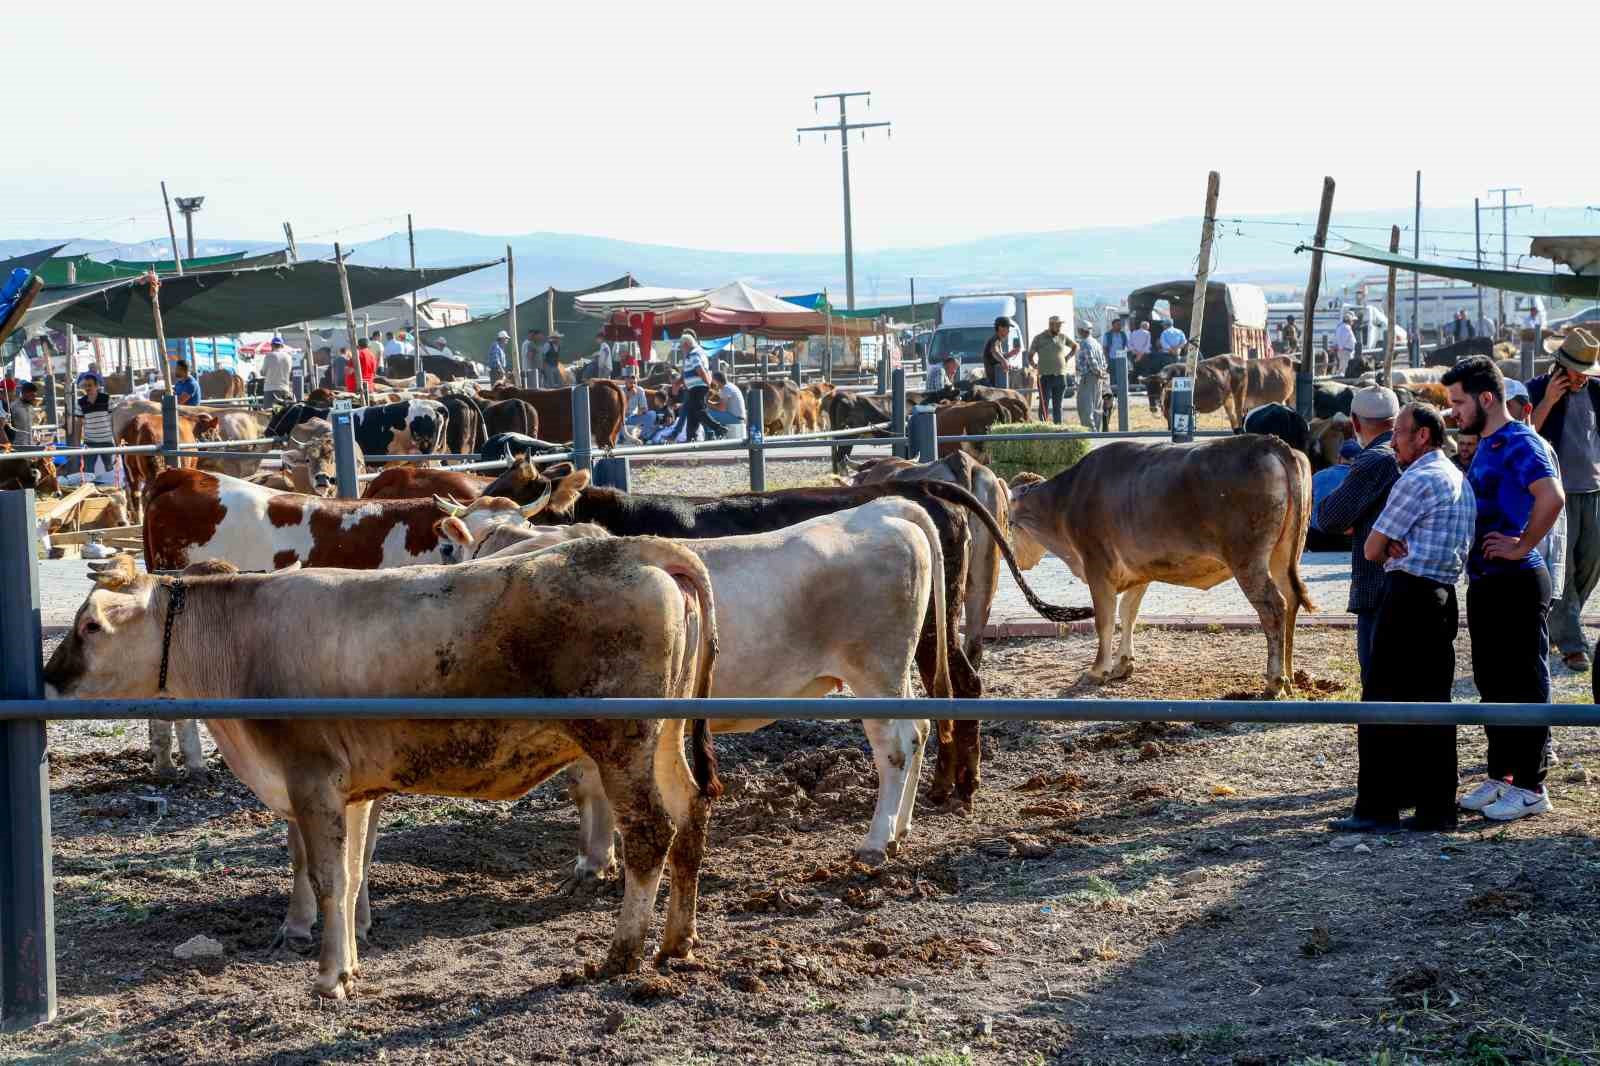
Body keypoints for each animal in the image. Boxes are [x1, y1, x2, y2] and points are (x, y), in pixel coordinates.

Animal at [43, 547, 720, 998]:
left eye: (90, 625)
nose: (49, 678)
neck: (241, 644)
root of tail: (634, 549)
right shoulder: (352, 790)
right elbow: (352, 873)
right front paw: (346, 963)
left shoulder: (312, 779)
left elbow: (327, 879)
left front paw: (326, 980)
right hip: (663, 738)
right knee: (691, 809)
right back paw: (675, 942)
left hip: (622, 742)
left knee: (651, 831)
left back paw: (622, 955)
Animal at [1011, 435, 1312, 697]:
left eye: (1010, 523)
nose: (1019, 560)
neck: (1065, 500)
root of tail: (1267, 442)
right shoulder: (1140, 568)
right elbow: (1128, 612)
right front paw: (1123, 664)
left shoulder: (1097, 564)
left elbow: (1105, 619)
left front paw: (1097, 671)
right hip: (1283, 555)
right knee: (1291, 599)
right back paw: (1290, 679)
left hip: (1247, 559)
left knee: (1273, 607)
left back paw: (1274, 683)